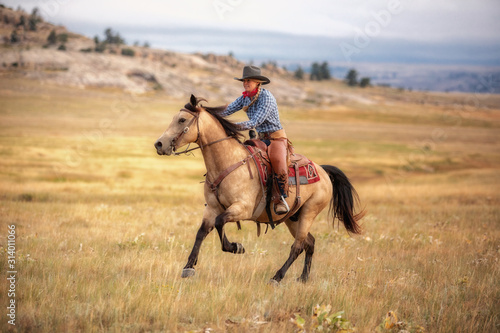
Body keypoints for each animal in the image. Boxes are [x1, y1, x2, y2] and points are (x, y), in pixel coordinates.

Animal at [153, 94, 364, 282]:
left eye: (182, 120)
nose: (159, 144)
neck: (228, 162)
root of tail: (322, 171)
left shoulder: (242, 209)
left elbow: (220, 223)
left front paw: (236, 247)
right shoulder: (212, 208)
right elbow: (201, 232)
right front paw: (188, 267)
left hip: (309, 213)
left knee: (297, 246)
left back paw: (277, 277)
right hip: (292, 218)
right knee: (309, 243)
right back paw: (303, 278)